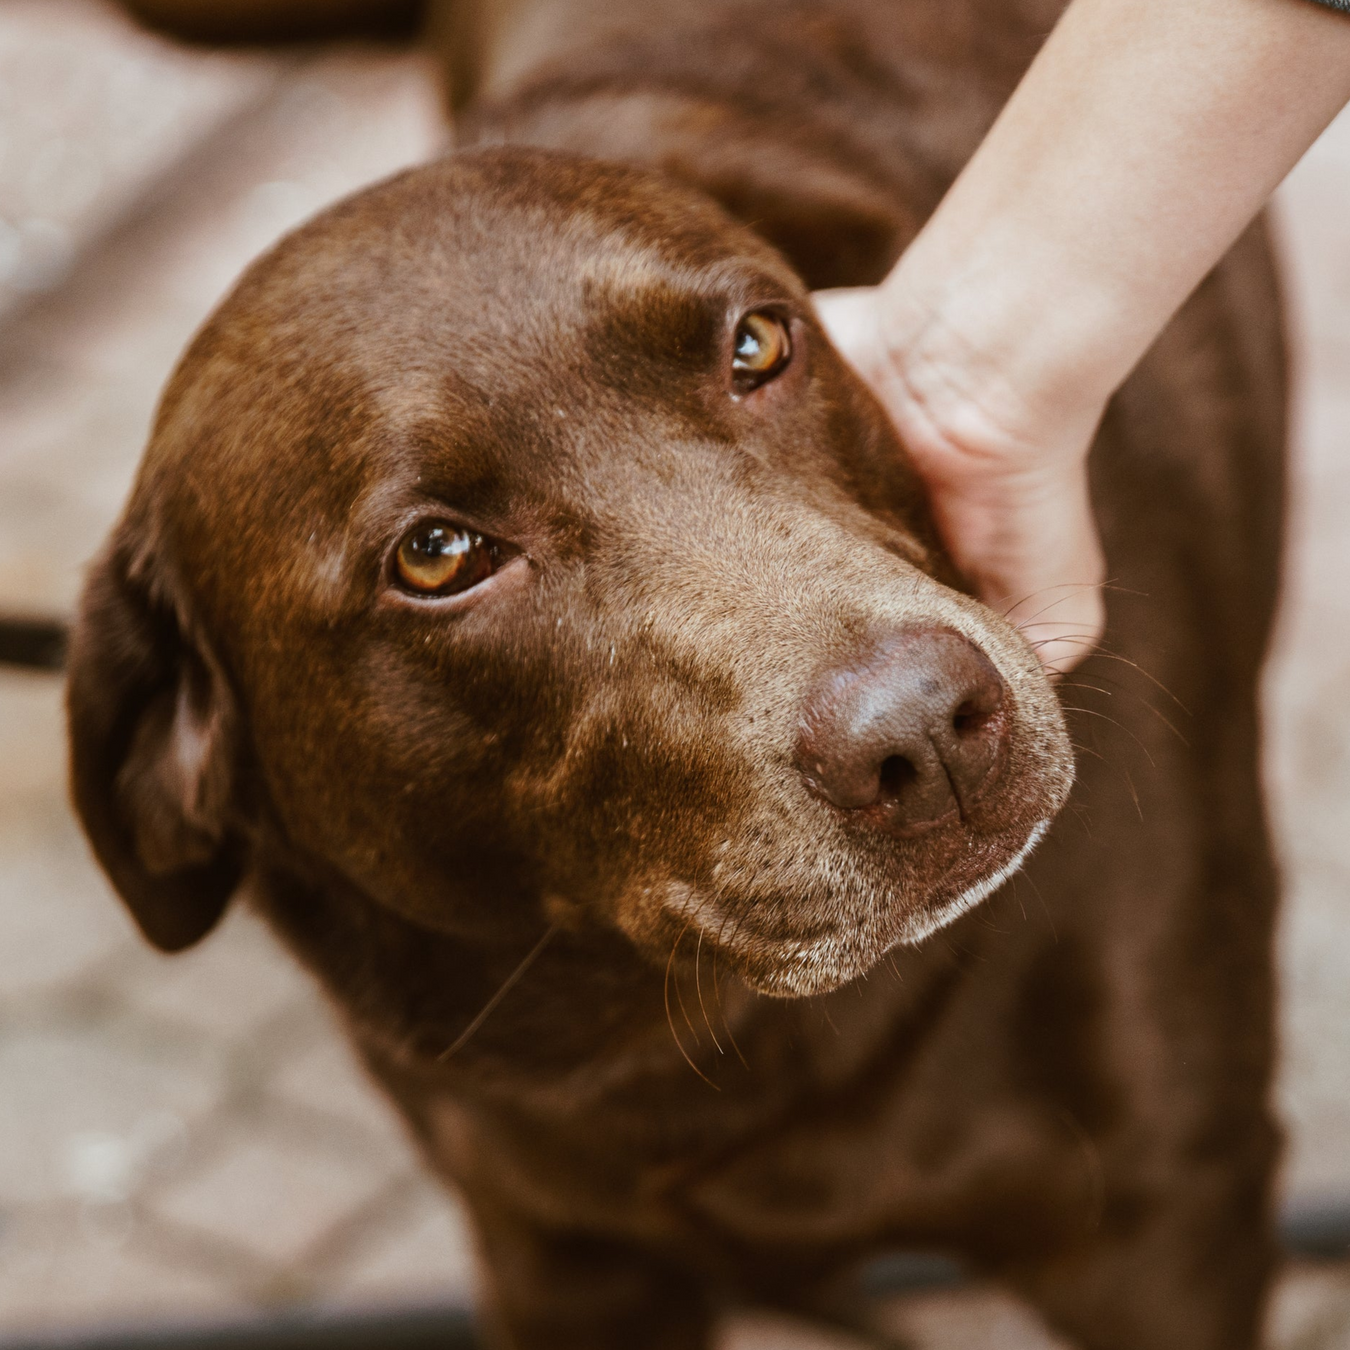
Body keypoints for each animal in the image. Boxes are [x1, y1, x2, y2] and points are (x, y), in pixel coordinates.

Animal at [65, 5, 1285, 1344]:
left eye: (759, 343)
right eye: (436, 556)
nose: (929, 732)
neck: (704, 1046)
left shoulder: (1165, 1211)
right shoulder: (557, 1258)